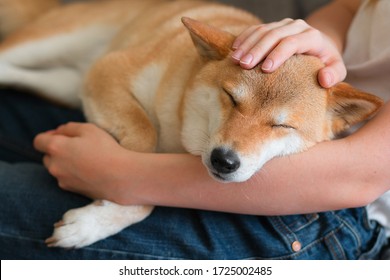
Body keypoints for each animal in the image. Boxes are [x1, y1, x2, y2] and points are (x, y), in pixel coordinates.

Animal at [0, 0, 384, 247]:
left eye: (283, 127)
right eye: (231, 98)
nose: (224, 161)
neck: (179, 128)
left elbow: (137, 186)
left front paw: (94, 221)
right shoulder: (109, 69)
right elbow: (143, 138)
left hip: (64, 83)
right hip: (52, 43)